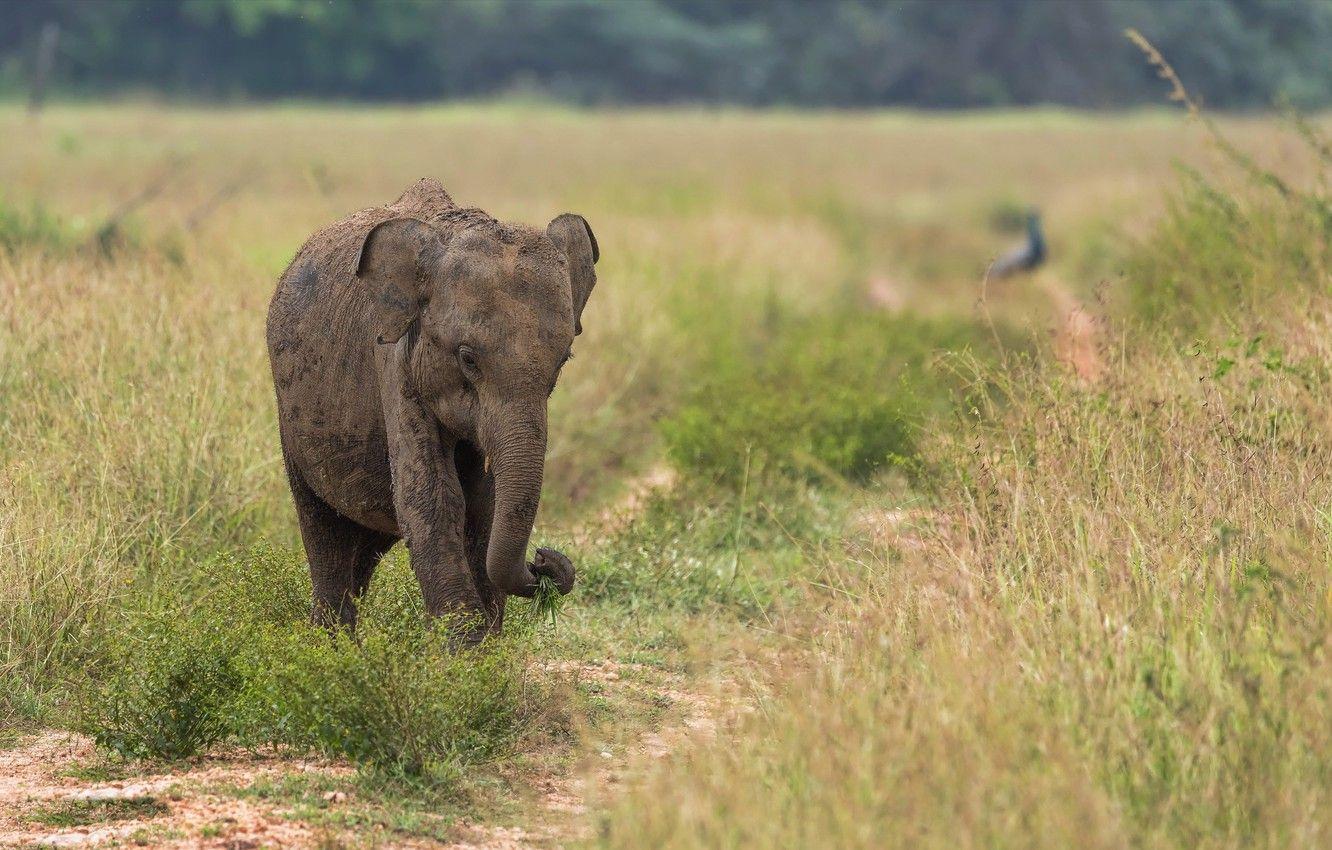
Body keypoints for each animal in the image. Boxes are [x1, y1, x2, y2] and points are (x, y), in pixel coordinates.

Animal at [266, 177, 598, 638]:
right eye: (467, 358)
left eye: (563, 359)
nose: (544, 561)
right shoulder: (394, 357)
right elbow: (432, 497)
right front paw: (467, 651)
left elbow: (483, 507)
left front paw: (487, 650)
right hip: (292, 419)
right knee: (325, 530)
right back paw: (329, 646)